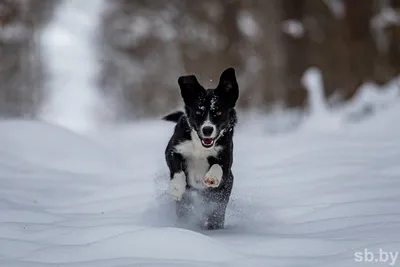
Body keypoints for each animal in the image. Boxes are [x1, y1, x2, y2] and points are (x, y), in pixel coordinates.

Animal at [162, 67, 238, 230]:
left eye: (218, 112)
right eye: (198, 112)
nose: (207, 129)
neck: (200, 145)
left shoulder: (226, 158)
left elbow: (219, 166)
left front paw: (212, 177)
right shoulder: (172, 150)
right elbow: (177, 170)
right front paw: (176, 188)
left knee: (216, 212)